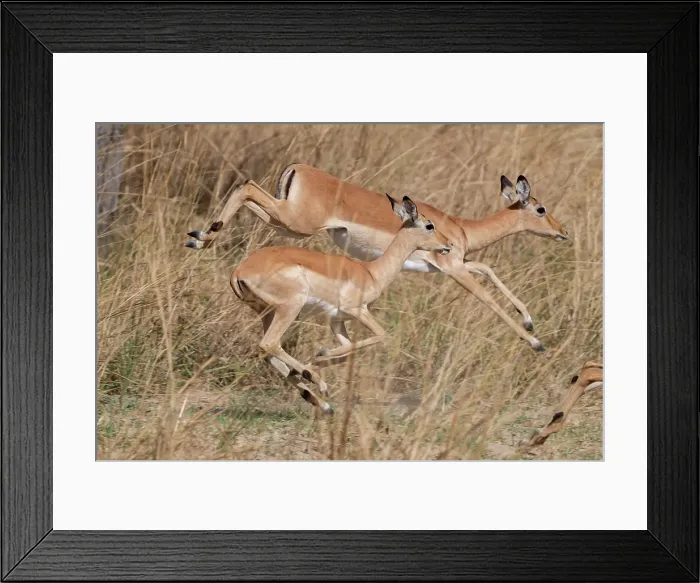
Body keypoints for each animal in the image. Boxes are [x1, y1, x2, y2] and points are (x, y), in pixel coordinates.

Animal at [187, 163, 569, 351]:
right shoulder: (452, 267)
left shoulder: (453, 265)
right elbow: (488, 299)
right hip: (295, 223)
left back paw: (201, 237)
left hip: (287, 224)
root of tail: (298, 167)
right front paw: (535, 342)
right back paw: (201, 237)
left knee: (246, 190)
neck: (460, 227)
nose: (563, 231)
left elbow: (488, 269)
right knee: (246, 186)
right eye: (541, 208)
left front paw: (529, 321)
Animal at [230, 195, 452, 413]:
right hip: (290, 307)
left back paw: (321, 401)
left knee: (267, 351)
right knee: (269, 343)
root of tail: (239, 271)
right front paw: (318, 358)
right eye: (429, 225)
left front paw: (317, 359)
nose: (448, 244)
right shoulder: (357, 310)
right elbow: (381, 335)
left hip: (268, 312)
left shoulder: (337, 320)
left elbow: (348, 351)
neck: (371, 273)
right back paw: (317, 382)